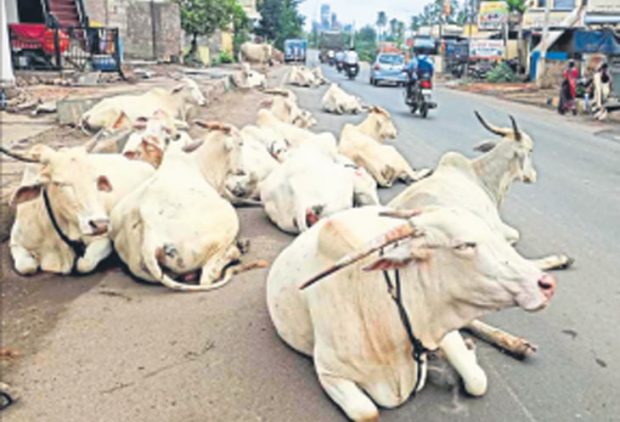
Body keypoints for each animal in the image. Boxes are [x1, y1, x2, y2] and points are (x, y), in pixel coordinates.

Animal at [78, 77, 206, 132]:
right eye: (191, 87)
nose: (204, 102)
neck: (170, 100)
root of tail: (88, 113)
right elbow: (185, 124)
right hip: (114, 111)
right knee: (109, 129)